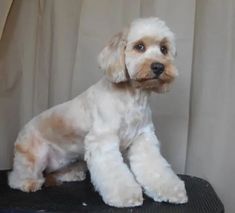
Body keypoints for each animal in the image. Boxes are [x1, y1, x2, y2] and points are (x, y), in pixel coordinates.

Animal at [8, 17, 187, 208]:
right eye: (140, 46)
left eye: (164, 49)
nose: (159, 67)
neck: (132, 98)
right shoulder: (103, 140)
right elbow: (114, 172)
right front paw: (125, 196)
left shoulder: (143, 138)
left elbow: (155, 168)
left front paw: (171, 191)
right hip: (34, 156)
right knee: (17, 176)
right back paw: (28, 182)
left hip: (71, 158)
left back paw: (71, 174)